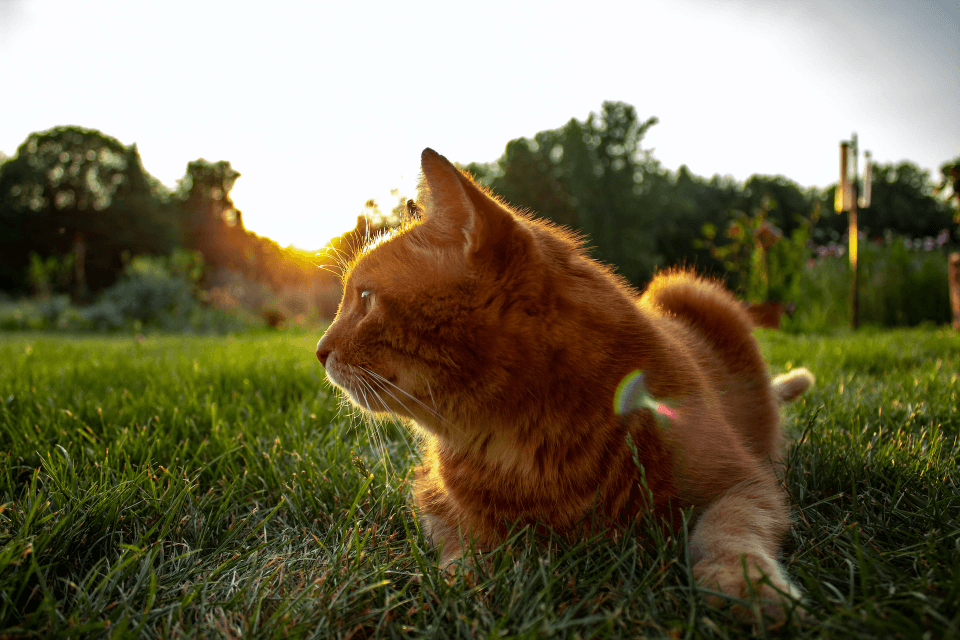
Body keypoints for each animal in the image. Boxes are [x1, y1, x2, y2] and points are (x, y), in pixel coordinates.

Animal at [318, 149, 812, 620]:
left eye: (365, 299)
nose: (320, 350)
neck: (531, 445)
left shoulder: (745, 484)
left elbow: (727, 534)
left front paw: (748, 588)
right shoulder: (433, 501)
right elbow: (464, 548)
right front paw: (461, 585)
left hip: (686, 286)